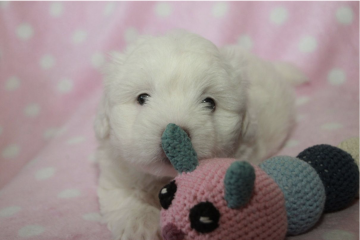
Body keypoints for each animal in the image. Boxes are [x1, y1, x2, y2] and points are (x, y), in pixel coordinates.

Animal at [93, 30, 306, 240]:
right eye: (142, 98)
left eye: (209, 102)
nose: (176, 140)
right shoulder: (117, 169)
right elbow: (124, 193)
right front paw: (141, 224)